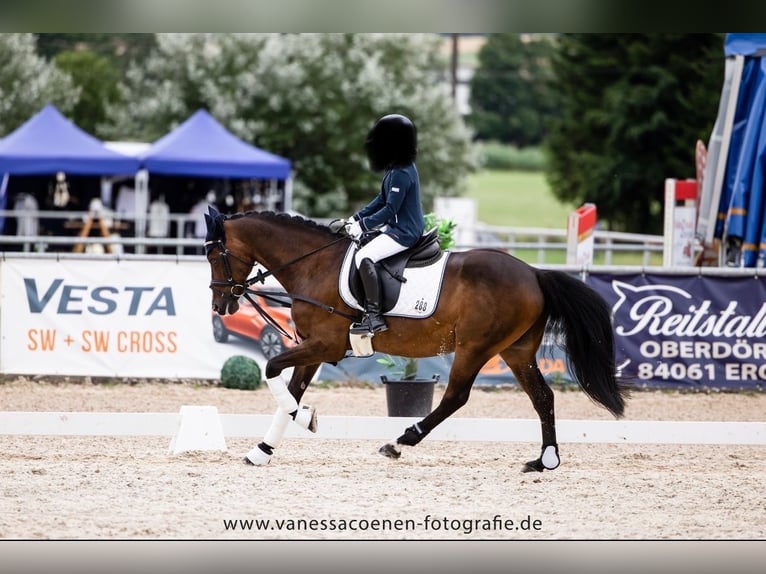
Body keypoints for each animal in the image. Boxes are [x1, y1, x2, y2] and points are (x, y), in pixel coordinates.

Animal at [204, 207, 632, 472]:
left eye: (213, 255)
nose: (221, 304)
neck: (314, 265)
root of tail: (534, 273)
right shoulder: (311, 349)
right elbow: (287, 395)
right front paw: (262, 451)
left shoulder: (325, 345)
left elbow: (272, 371)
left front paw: (307, 418)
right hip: (516, 351)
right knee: (543, 398)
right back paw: (545, 461)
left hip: (475, 347)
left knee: (456, 397)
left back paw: (399, 442)